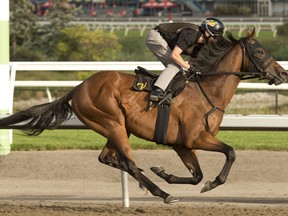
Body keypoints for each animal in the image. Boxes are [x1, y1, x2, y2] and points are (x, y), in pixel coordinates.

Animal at [0, 29, 288, 203]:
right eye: (260, 52)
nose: (282, 73)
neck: (207, 91)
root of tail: (79, 87)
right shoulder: (195, 138)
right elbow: (230, 152)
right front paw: (211, 184)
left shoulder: (182, 144)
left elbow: (196, 175)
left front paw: (162, 171)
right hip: (112, 123)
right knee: (126, 161)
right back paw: (162, 193)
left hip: (119, 127)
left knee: (108, 158)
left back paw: (147, 183)